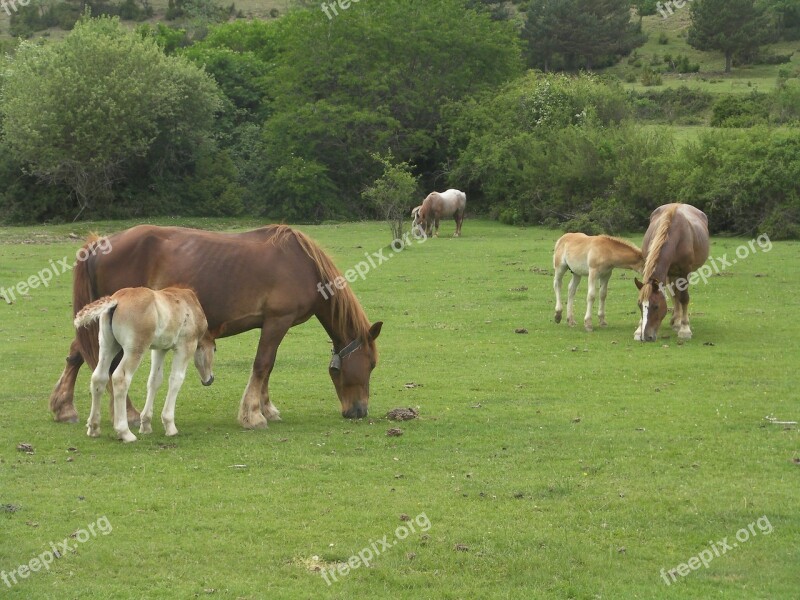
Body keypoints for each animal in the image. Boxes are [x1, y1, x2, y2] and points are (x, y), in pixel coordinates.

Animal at [49, 224, 382, 426]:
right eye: (371, 365)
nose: (358, 411)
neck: (302, 264)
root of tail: (98, 244)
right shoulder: (278, 321)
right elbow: (263, 364)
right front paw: (253, 415)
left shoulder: (271, 325)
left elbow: (267, 368)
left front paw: (266, 408)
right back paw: (127, 414)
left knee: (78, 353)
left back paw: (64, 407)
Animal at [72, 288, 212, 442]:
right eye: (215, 350)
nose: (210, 379)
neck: (190, 305)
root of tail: (116, 300)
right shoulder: (185, 346)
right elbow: (176, 379)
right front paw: (170, 426)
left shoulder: (159, 349)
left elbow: (155, 380)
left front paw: (145, 424)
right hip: (134, 350)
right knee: (120, 378)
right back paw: (125, 432)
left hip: (107, 346)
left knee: (99, 378)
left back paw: (94, 427)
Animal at [636, 203, 708, 340]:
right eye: (639, 305)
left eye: (656, 306)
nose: (647, 336)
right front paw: (638, 330)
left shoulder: (685, 270)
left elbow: (684, 298)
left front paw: (685, 329)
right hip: (671, 273)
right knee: (674, 294)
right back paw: (676, 321)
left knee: (678, 294)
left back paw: (679, 323)